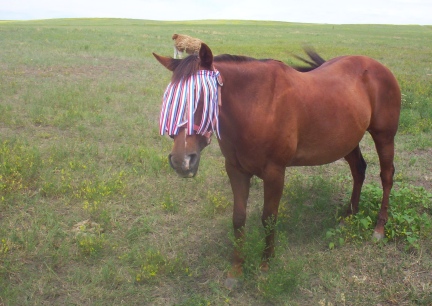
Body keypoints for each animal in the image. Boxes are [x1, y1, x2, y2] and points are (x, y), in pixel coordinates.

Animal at [153, 43, 402, 286]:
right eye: (169, 99)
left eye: (202, 97)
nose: (182, 161)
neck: (257, 104)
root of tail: (378, 67)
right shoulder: (235, 170)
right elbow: (238, 219)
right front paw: (236, 270)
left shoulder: (274, 173)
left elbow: (269, 219)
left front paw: (265, 265)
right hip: (347, 141)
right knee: (358, 170)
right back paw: (349, 215)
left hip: (384, 136)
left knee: (386, 176)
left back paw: (379, 229)